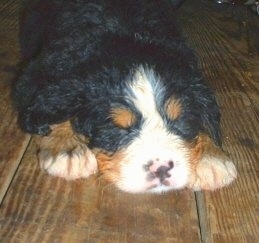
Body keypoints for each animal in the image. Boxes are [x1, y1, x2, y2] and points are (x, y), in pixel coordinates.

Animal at [13, 0, 239, 194]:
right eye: (116, 128)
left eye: (180, 122)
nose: (161, 169)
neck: (127, 34)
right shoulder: (37, 74)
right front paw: (67, 150)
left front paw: (211, 158)